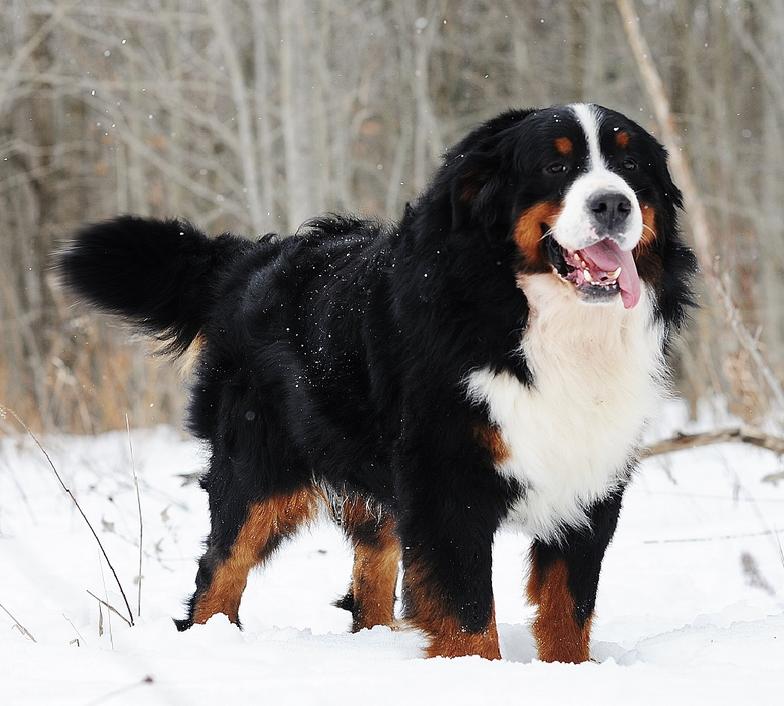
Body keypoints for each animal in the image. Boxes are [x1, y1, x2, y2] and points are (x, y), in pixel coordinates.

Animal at [58, 103, 696, 660]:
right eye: (555, 167)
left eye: (630, 165)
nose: (613, 203)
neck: (545, 325)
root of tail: (246, 261)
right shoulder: (447, 483)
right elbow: (467, 614)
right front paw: (480, 675)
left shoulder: (589, 480)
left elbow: (569, 611)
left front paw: (571, 675)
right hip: (259, 470)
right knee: (220, 570)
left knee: (370, 575)